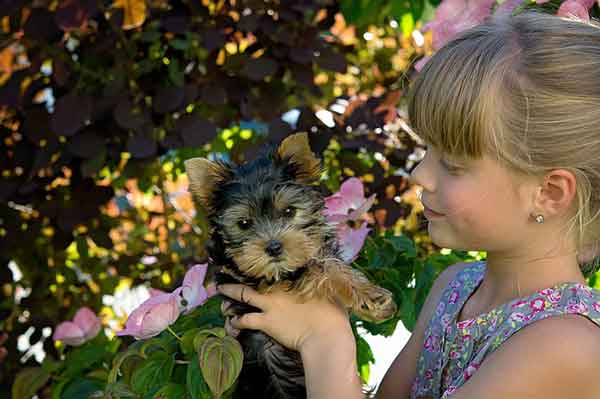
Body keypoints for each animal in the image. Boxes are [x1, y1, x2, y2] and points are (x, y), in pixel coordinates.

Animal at [185, 134, 396, 399]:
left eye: (289, 211)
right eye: (243, 223)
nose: (274, 247)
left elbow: (326, 261)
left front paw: (369, 296)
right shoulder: (255, 277)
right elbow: (316, 268)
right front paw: (371, 298)